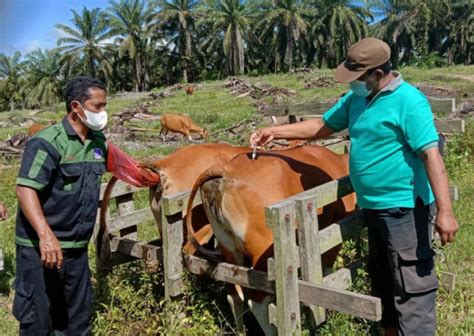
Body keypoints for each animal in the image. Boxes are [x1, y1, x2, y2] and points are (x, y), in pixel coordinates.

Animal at [185, 146, 356, 334]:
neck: (339, 164)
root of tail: (227, 169)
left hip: (228, 249)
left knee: (234, 294)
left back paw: (241, 331)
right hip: (263, 251)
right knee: (257, 302)